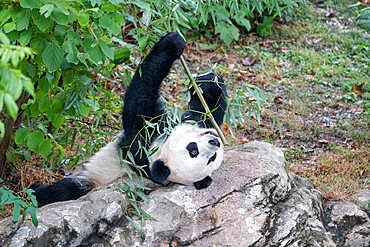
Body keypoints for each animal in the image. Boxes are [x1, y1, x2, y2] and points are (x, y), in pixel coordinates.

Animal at [31, 32, 228, 206]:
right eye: (193, 150)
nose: (215, 142)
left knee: (67, 189)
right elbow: (205, 111)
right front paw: (208, 83)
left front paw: (171, 44)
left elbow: (139, 100)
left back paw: (36, 189)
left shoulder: (141, 145)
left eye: (210, 158)